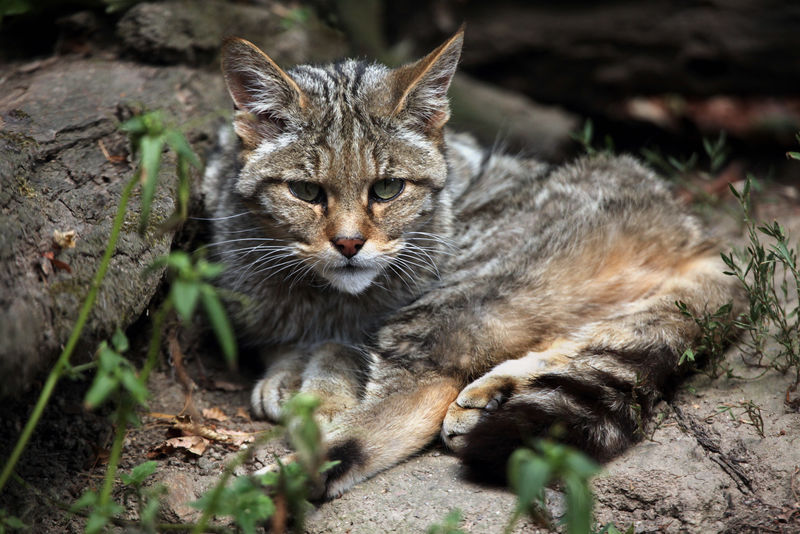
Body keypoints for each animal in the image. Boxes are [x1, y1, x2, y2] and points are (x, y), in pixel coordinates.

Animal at [203, 28, 740, 498]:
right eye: (306, 192)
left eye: (387, 189)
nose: (350, 244)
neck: (322, 298)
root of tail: (688, 229)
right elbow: (292, 346)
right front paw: (288, 375)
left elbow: (336, 363)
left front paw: (312, 393)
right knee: (587, 337)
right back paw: (493, 391)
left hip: (449, 297)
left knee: (403, 406)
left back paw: (266, 488)